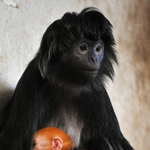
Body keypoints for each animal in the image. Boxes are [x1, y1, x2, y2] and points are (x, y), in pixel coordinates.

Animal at [0, 7, 134, 150]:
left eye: (98, 49)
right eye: (83, 48)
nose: (95, 59)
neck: (68, 83)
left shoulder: (97, 92)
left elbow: (118, 141)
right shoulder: (32, 80)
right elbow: (14, 143)